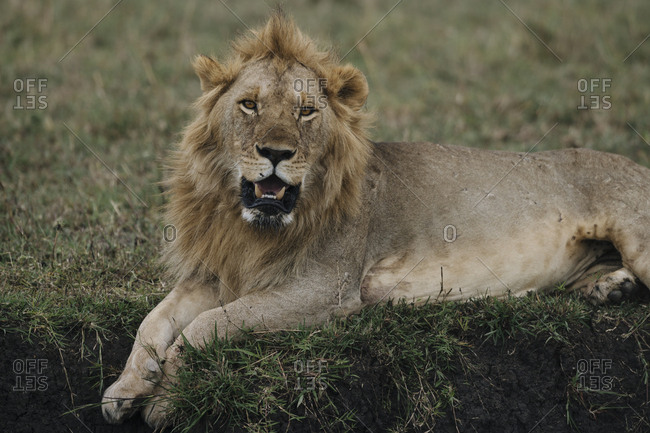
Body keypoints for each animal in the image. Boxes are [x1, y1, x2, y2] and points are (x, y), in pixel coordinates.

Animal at [102, 12, 650, 427]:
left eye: (305, 111)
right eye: (249, 105)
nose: (276, 153)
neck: (250, 228)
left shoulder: (325, 289)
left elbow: (207, 326)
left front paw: (166, 400)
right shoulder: (218, 273)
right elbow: (155, 320)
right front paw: (125, 388)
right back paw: (610, 289)